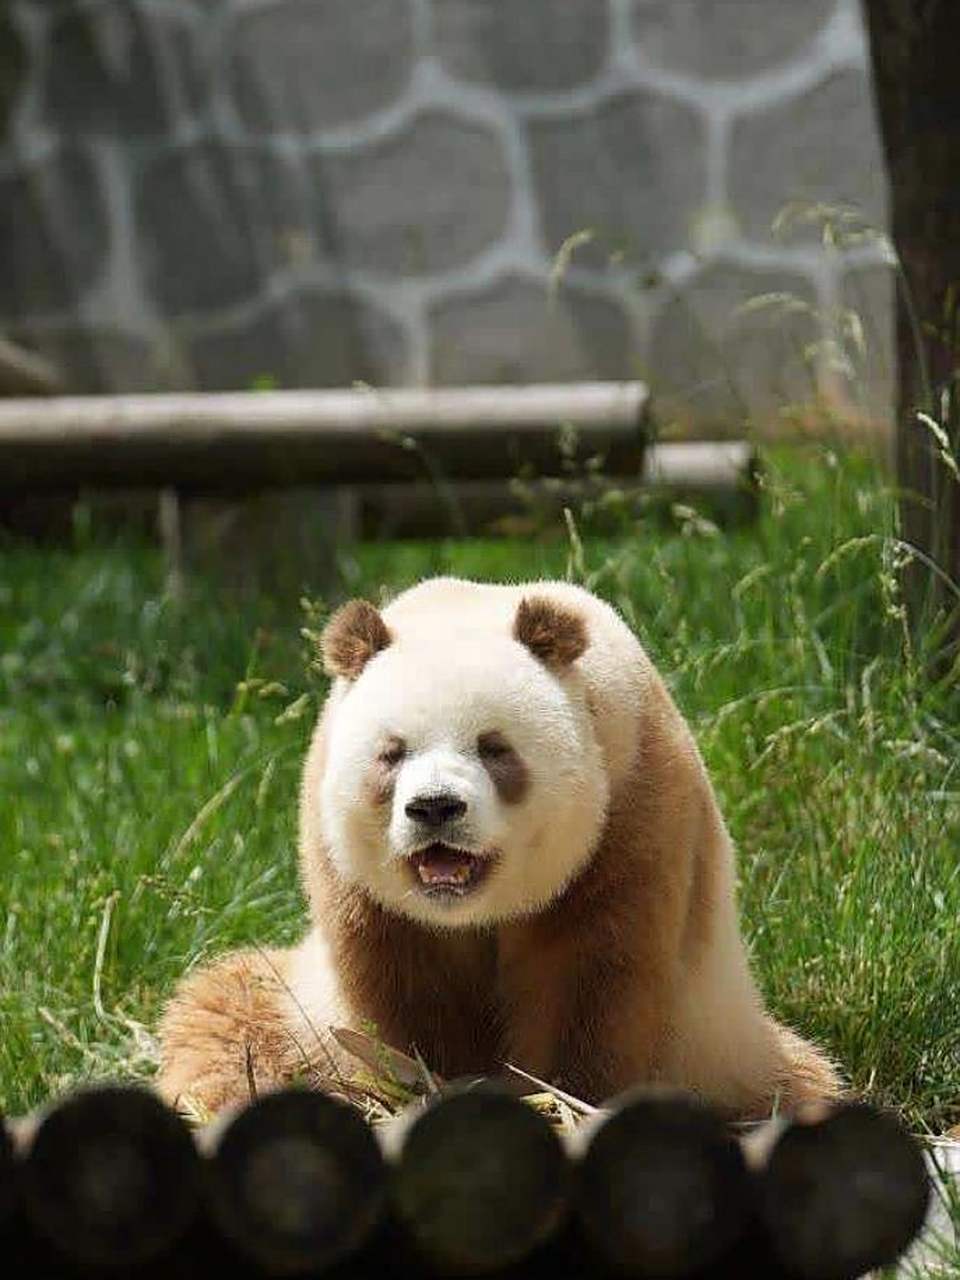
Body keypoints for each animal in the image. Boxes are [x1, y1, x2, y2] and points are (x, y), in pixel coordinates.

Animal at [156, 576, 840, 1117]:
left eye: (494, 748)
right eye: (392, 753)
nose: (435, 808)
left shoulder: (629, 813)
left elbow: (594, 975)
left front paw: (560, 1097)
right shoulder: (357, 880)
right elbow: (401, 990)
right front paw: (425, 1085)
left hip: (727, 1045)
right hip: (289, 1008)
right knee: (223, 1024)